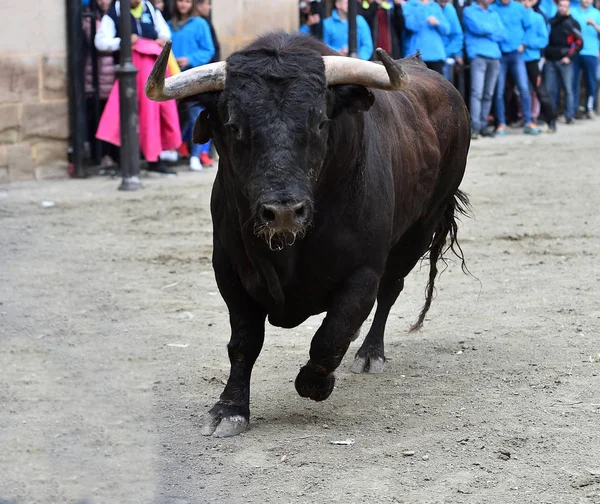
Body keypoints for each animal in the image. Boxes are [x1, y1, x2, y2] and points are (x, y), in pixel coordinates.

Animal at [146, 32, 474, 438]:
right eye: (234, 126)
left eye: (319, 122)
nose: (284, 211)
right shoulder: (228, 269)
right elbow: (244, 342)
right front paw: (229, 409)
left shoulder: (363, 271)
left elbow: (331, 335)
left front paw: (315, 384)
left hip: (419, 229)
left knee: (390, 290)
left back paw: (369, 353)